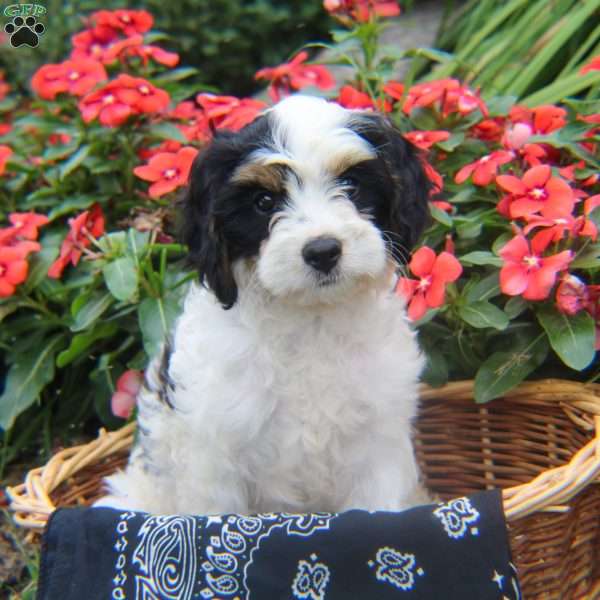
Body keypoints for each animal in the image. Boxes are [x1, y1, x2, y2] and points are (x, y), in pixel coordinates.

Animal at [99, 95, 432, 516]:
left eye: (352, 186)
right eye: (263, 201)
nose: (323, 251)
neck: (312, 320)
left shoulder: (378, 443)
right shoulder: (215, 456)